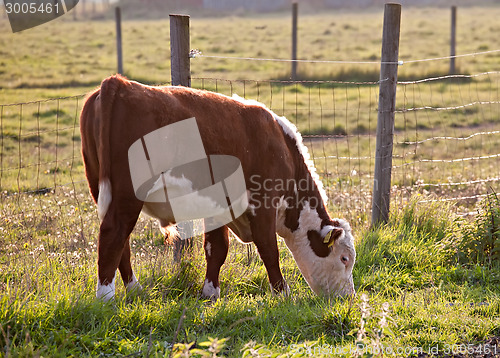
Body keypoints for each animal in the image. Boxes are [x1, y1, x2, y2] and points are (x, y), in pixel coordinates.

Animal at [80, 75, 356, 302]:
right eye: (344, 258)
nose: (348, 297)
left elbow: (217, 248)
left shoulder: (219, 207)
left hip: (103, 192)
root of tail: (121, 83)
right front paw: (283, 293)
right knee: (114, 235)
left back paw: (134, 290)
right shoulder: (263, 204)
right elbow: (269, 249)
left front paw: (210, 292)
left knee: (122, 243)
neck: (281, 146)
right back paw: (106, 297)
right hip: (127, 197)